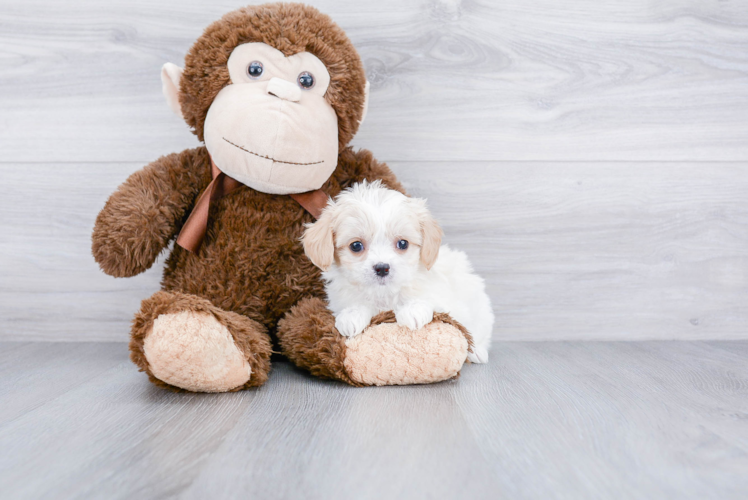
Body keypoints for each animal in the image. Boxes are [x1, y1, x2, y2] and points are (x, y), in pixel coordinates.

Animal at [300, 180, 494, 364]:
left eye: (403, 244)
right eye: (356, 246)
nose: (382, 268)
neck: (384, 293)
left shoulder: (444, 297)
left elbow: (430, 300)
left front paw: (413, 311)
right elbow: (354, 305)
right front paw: (351, 317)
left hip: (479, 307)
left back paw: (477, 352)